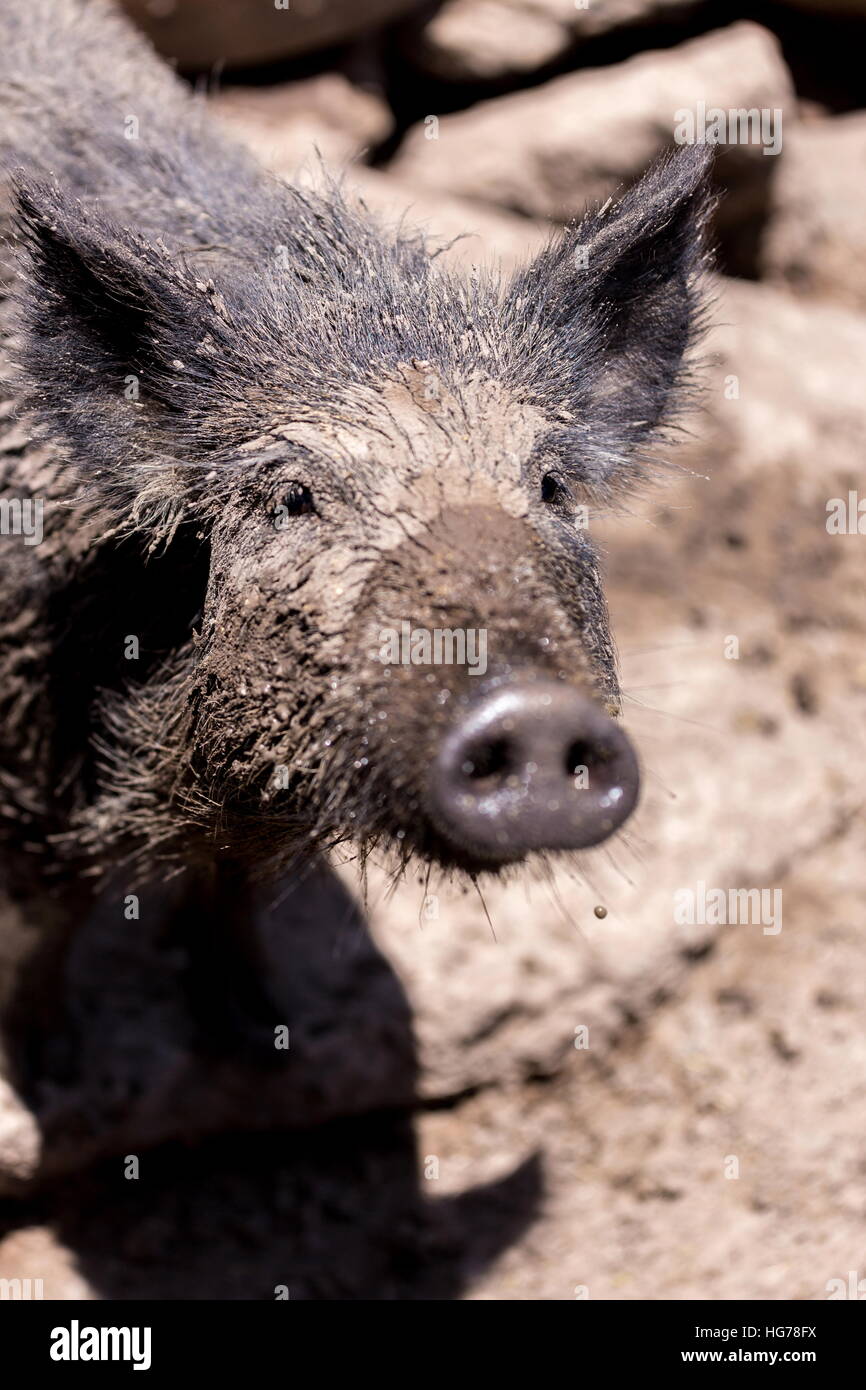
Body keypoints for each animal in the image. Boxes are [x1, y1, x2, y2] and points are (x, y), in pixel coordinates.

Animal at [0, 0, 717, 1073]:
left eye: (550, 484)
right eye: (293, 497)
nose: (535, 711)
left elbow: (235, 891)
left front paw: (265, 1037)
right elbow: (50, 915)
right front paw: (56, 1067)